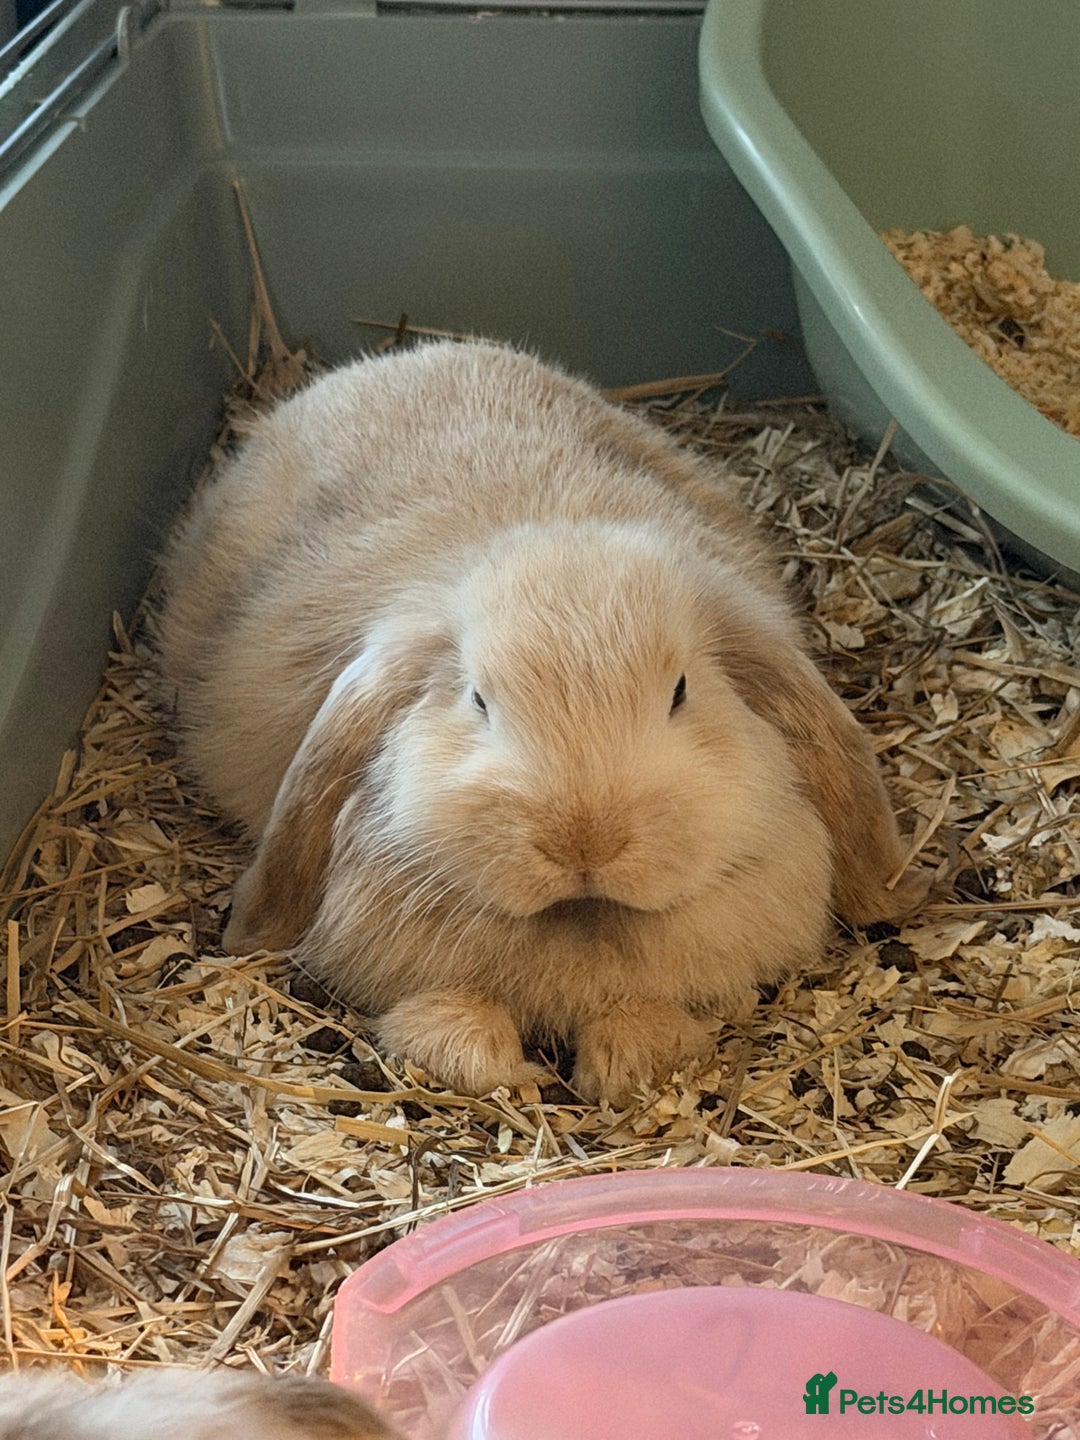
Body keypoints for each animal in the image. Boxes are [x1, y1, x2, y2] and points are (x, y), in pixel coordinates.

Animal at [159, 341, 924, 1105]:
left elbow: (645, 1024)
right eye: (477, 699)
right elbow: (454, 1029)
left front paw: (627, 1061)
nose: (584, 842)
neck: (582, 921)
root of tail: (416, 352)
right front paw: (490, 1061)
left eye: (680, 692)